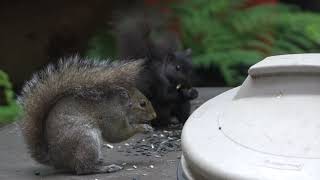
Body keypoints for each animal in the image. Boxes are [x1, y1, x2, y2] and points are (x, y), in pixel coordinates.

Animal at [18, 56, 156, 174]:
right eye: (142, 104)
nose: (154, 116)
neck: (119, 104)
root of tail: (55, 159)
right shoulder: (112, 116)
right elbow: (116, 135)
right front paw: (143, 128)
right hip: (86, 139)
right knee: (83, 168)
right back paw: (106, 168)